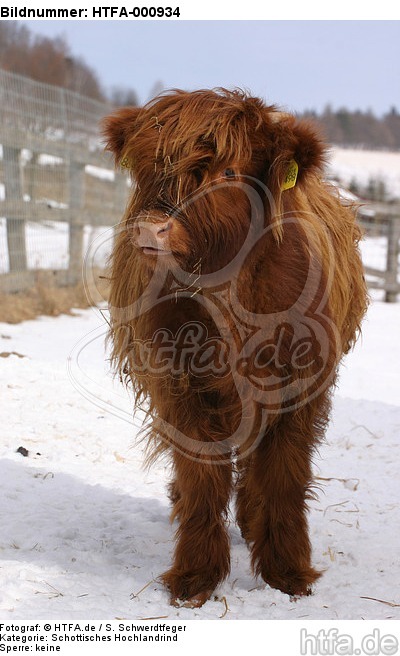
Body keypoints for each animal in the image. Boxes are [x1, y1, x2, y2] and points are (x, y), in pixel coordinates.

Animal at [102, 88, 368, 608]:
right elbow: (201, 478)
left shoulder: (300, 388)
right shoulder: (179, 384)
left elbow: (284, 475)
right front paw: (196, 575)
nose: (151, 229)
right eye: (145, 166)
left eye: (227, 172)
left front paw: (288, 571)